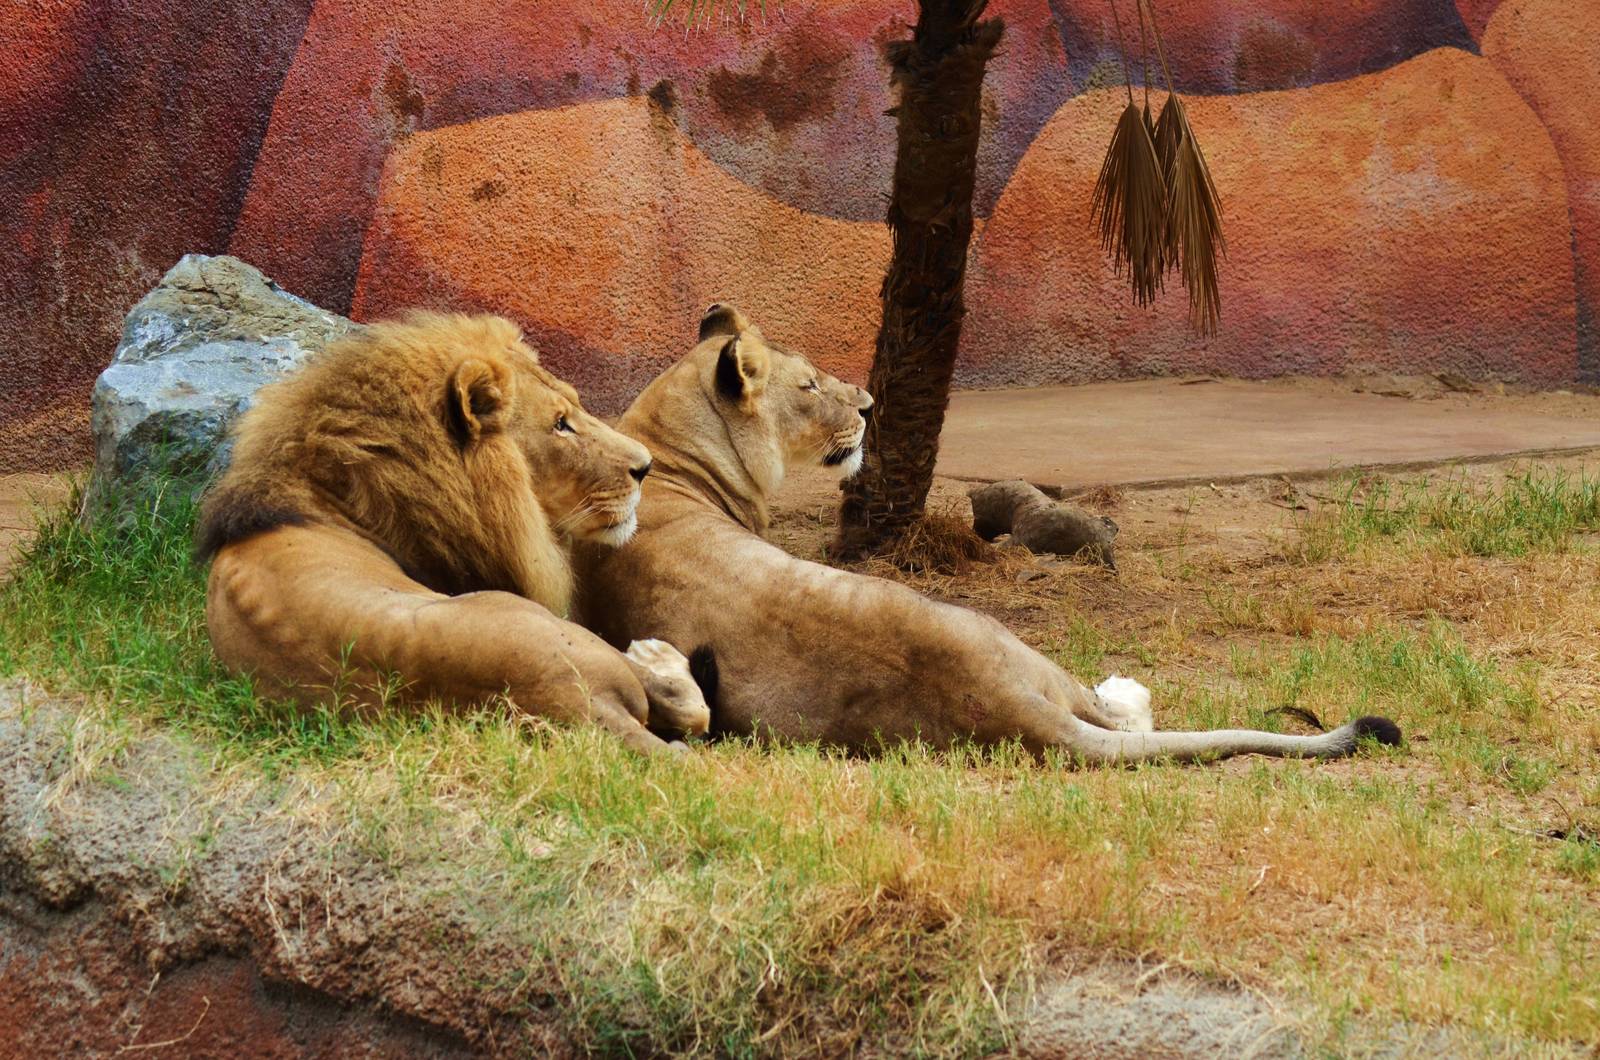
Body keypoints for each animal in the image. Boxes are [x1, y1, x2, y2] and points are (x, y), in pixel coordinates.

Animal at [196, 311, 709, 751]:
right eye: (560, 425)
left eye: (578, 407)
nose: (646, 466)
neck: (340, 497)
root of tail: (585, 706)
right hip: (538, 621)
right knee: (687, 705)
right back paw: (653, 653)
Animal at [573, 305, 1401, 763]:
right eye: (808, 386)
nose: (869, 406)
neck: (672, 453)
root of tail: (1004, 700)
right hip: (1021, 647)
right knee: (1124, 715)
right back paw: (1122, 687)